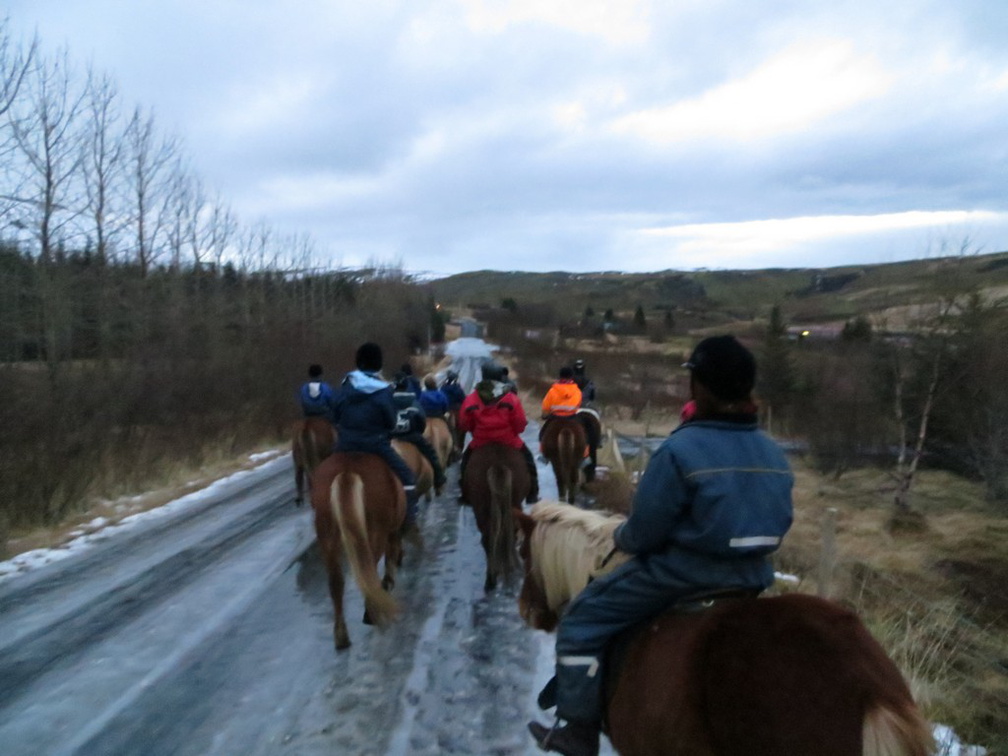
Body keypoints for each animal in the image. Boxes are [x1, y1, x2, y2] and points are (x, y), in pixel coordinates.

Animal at [310, 449, 405, 653]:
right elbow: (391, 554)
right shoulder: (392, 531)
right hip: (375, 532)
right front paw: (389, 579)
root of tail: (347, 471)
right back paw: (372, 614)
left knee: (336, 582)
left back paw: (341, 636)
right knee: (369, 570)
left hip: (327, 537)